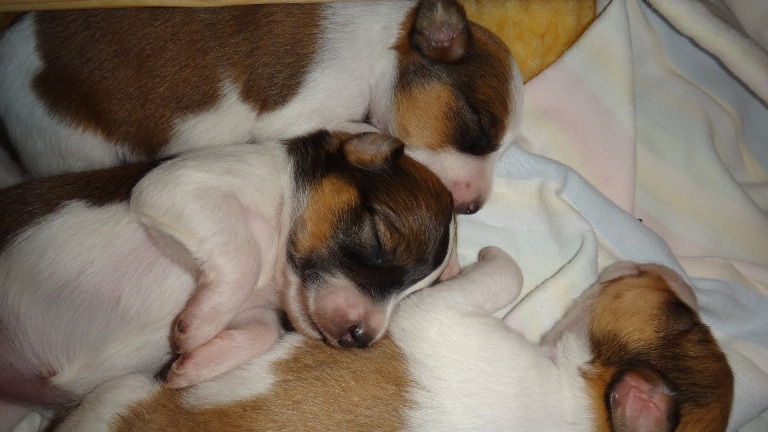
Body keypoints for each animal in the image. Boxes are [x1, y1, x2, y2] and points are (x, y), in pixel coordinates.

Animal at [0, 130, 458, 431]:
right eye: (378, 236)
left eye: (413, 295)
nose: (363, 337)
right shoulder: (181, 187)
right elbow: (242, 256)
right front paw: (197, 328)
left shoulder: (259, 313)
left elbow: (262, 330)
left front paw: (192, 365)